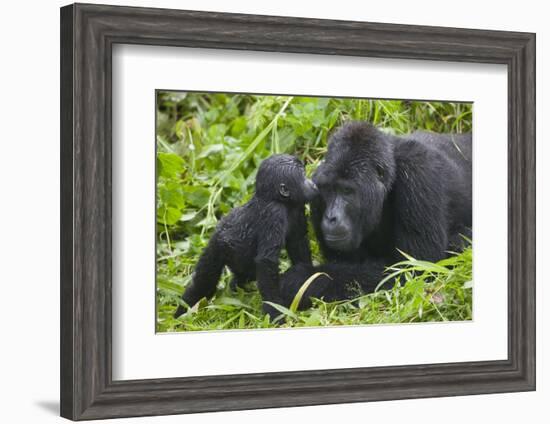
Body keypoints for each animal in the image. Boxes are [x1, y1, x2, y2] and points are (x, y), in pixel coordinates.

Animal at [172, 154, 320, 320]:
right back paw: (183, 311)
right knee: (204, 281)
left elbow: (298, 243)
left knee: (243, 274)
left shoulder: (297, 207)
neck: (276, 198)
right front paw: (275, 311)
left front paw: (307, 279)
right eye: (303, 176)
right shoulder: (274, 214)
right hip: (216, 246)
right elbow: (266, 261)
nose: (313, 184)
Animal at [280, 121, 474, 306]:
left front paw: (302, 279)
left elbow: (415, 269)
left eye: (346, 191)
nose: (331, 217)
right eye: (329, 190)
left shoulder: (419, 173)